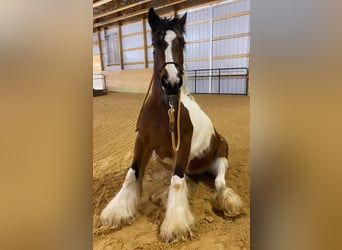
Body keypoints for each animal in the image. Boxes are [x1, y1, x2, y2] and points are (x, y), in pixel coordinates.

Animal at [101, 7, 243, 242]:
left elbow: (177, 180)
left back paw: (228, 202)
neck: (164, 111)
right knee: (187, 178)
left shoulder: (183, 144)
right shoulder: (143, 142)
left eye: (182, 42)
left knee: (219, 182)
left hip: (221, 158)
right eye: (155, 43)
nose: (172, 83)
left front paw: (176, 225)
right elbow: (132, 174)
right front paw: (117, 211)